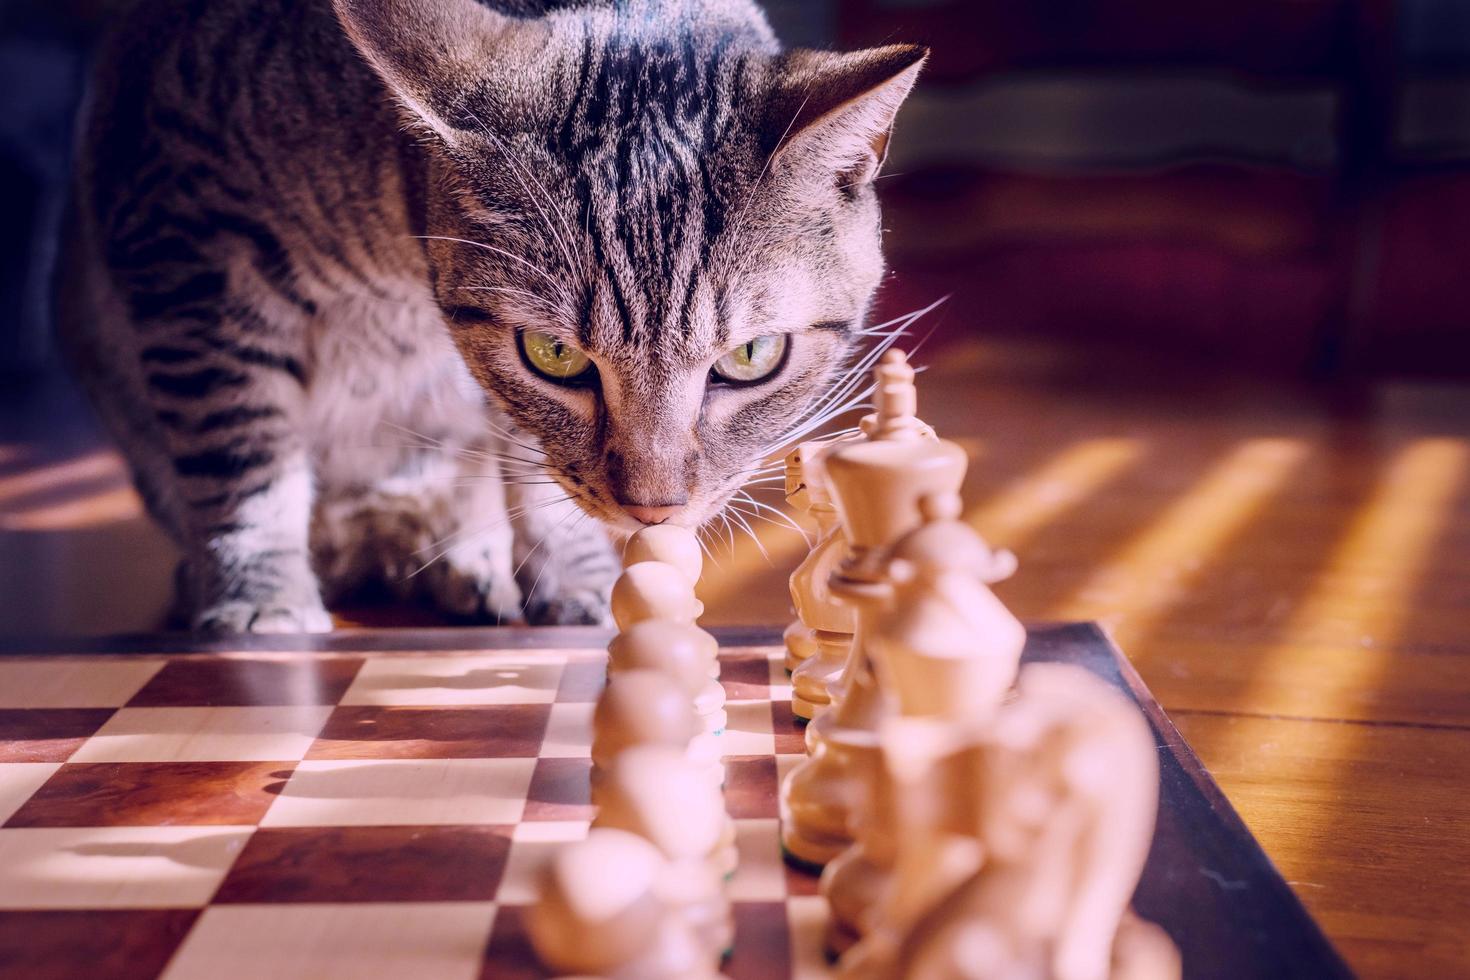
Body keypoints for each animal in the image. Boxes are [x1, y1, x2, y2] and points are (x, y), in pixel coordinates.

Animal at [60, 0, 929, 631]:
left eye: (751, 358)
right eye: (553, 354)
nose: (651, 509)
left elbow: (536, 472)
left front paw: (576, 577)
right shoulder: (184, 239)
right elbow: (242, 457)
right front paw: (259, 596)